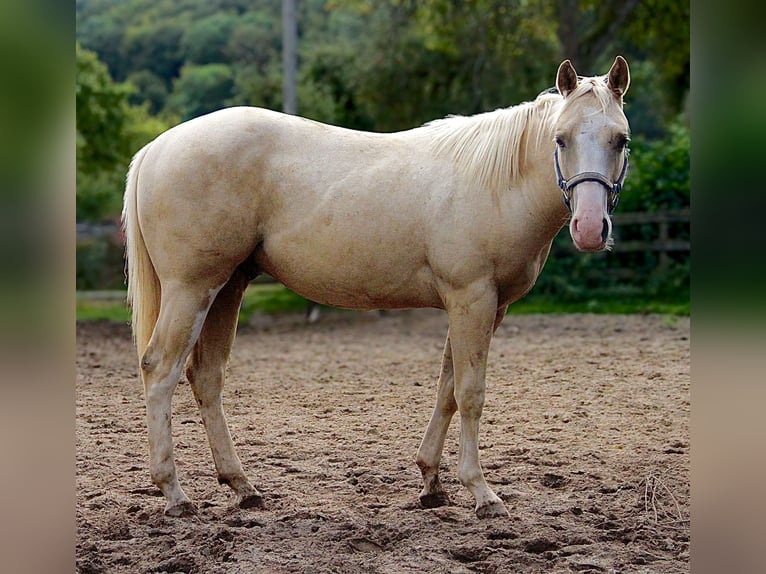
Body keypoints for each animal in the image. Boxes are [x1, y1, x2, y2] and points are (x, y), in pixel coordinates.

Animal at [123, 56, 632, 520]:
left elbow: (447, 388)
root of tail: (157, 147)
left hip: (226, 288)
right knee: (160, 369)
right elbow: (471, 393)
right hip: (191, 290)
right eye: (560, 138)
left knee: (206, 377)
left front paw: (431, 483)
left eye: (620, 139)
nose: (590, 229)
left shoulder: (484, 307)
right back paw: (175, 494)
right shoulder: (472, 298)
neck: (495, 181)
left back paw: (243, 487)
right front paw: (482, 492)